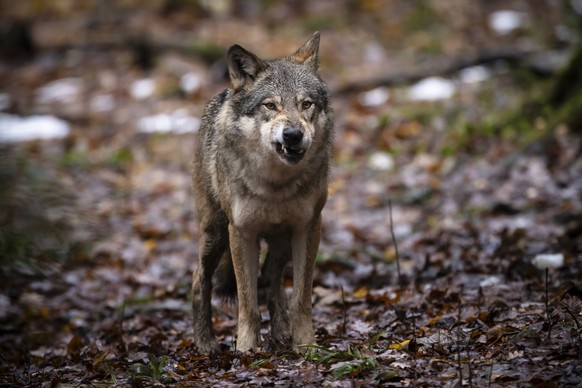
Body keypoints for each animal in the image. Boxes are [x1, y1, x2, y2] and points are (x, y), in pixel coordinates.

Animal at [193, 31, 334, 354]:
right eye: (270, 105)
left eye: (306, 104)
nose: (293, 135)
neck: (275, 185)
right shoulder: (241, 232)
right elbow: (248, 303)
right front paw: (246, 349)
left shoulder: (308, 227)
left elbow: (301, 298)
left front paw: (305, 344)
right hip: (215, 232)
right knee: (199, 280)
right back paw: (205, 342)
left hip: (281, 241)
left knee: (271, 278)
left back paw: (281, 332)